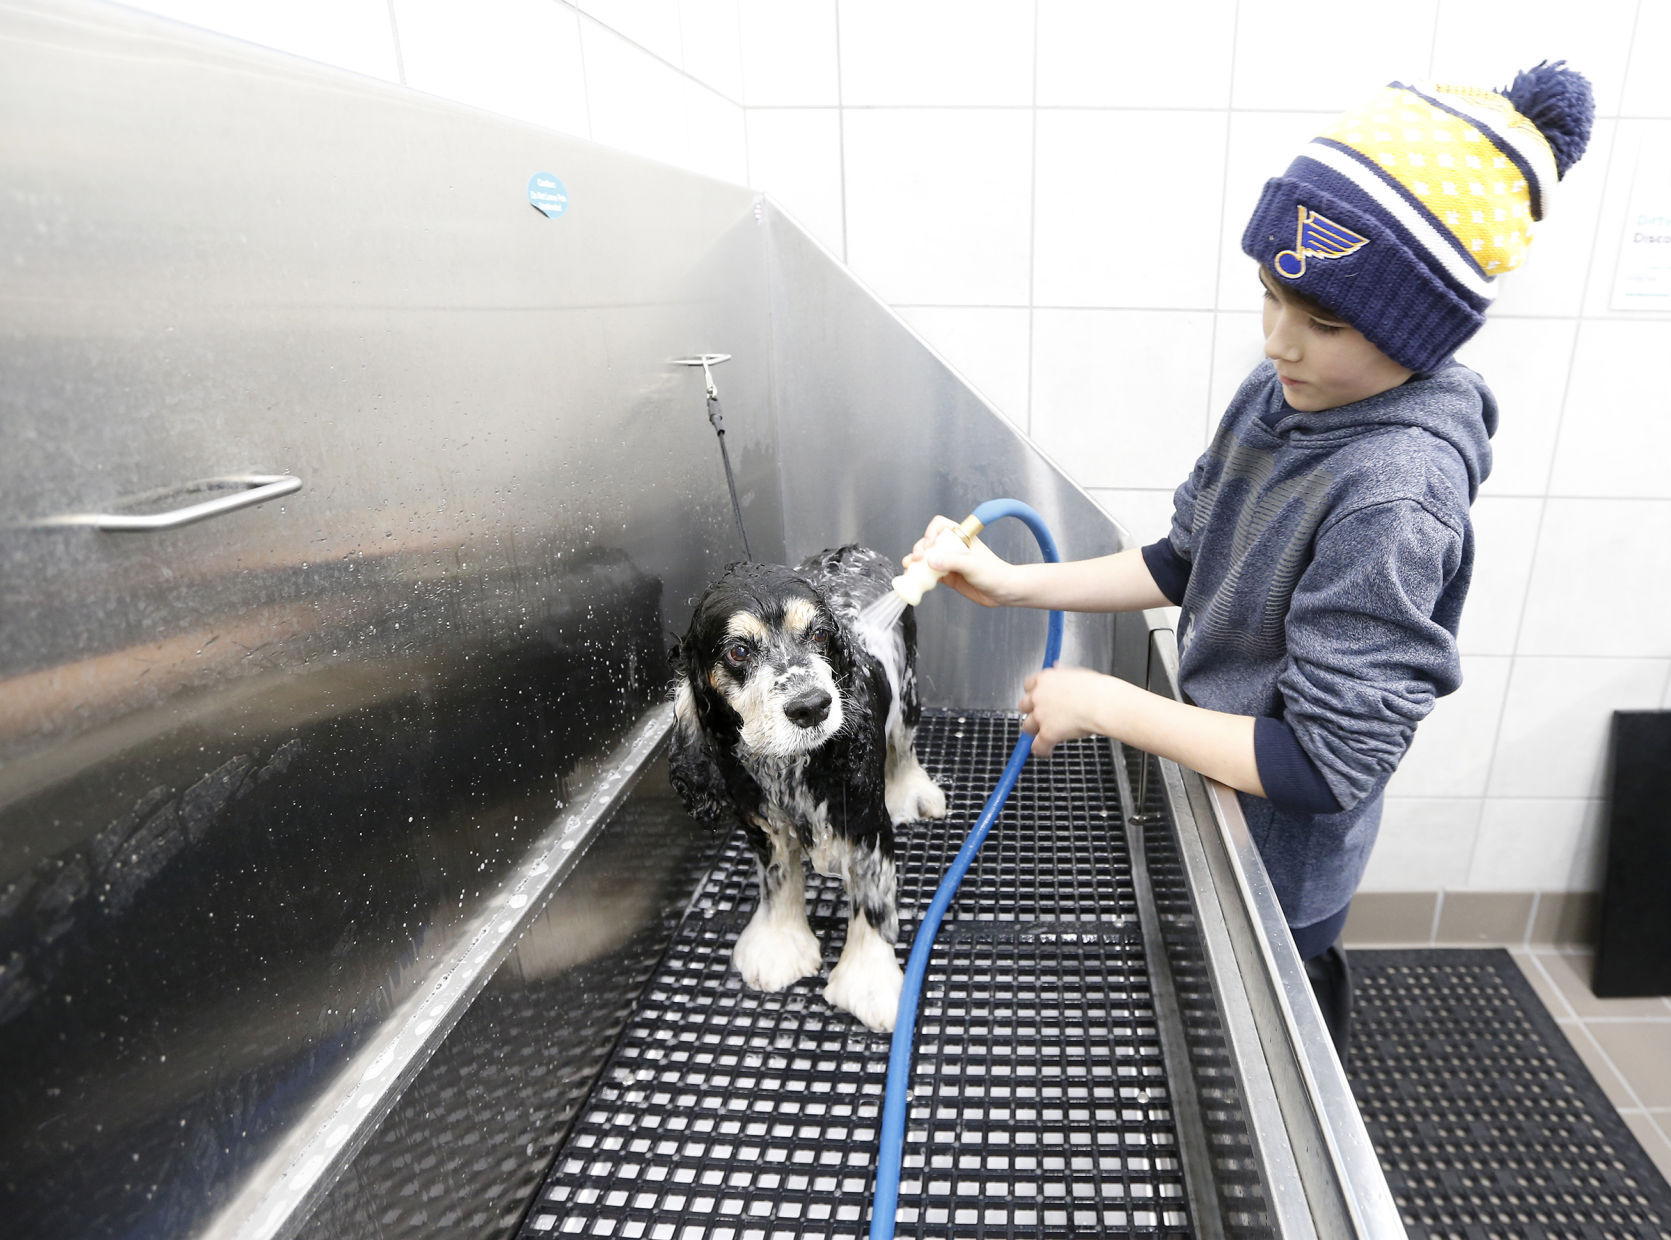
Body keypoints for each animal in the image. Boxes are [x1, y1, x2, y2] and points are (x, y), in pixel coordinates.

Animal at [668, 548, 955, 1036]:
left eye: (820, 633)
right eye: (738, 650)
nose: (811, 706)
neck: (790, 765)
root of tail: (857, 550)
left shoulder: (865, 821)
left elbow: (872, 901)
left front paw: (870, 983)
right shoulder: (763, 820)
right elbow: (778, 879)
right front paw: (778, 945)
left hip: (909, 683)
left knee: (903, 742)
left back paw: (913, 791)